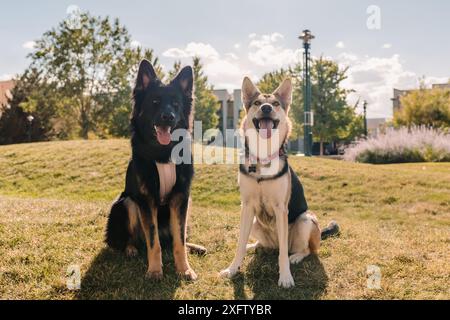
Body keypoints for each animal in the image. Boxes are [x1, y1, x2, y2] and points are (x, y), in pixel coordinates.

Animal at [105, 60, 206, 280]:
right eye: (155, 102)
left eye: (175, 104)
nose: (168, 117)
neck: (163, 154)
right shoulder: (146, 200)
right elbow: (154, 241)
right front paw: (154, 270)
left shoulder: (181, 198)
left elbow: (179, 241)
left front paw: (184, 269)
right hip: (126, 203)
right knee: (130, 239)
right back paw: (131, 248)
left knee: (175, 237)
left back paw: (195, 246)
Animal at [220, 77, 340, 288]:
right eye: (257, 103)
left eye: (275, 104)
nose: (267, 108)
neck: (263, 156)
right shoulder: (247, 206)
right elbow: (239, 243)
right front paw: (233, 268)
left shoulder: (280, 208)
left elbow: (283, 253)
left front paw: (285, 276)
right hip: (255, 222)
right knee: (265, 244)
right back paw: (255, 245)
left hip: (306, 220)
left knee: (305, 250)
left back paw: (296, 257)